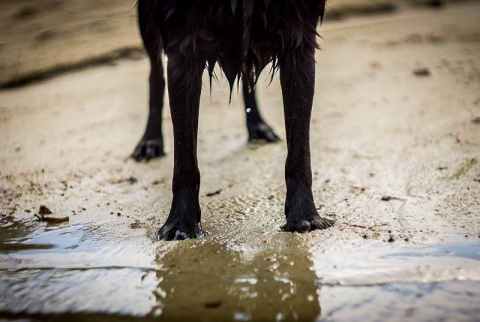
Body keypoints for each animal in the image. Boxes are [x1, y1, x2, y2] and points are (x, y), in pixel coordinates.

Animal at [134, 0, 330, 240]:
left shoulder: (298, 38)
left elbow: (300, 152)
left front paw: (304, 215)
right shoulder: (182, 45)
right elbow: (184, 157)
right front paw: (181, 223)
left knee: (247, 73)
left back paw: (257, 125)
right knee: (155, 73)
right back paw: (150, 141)